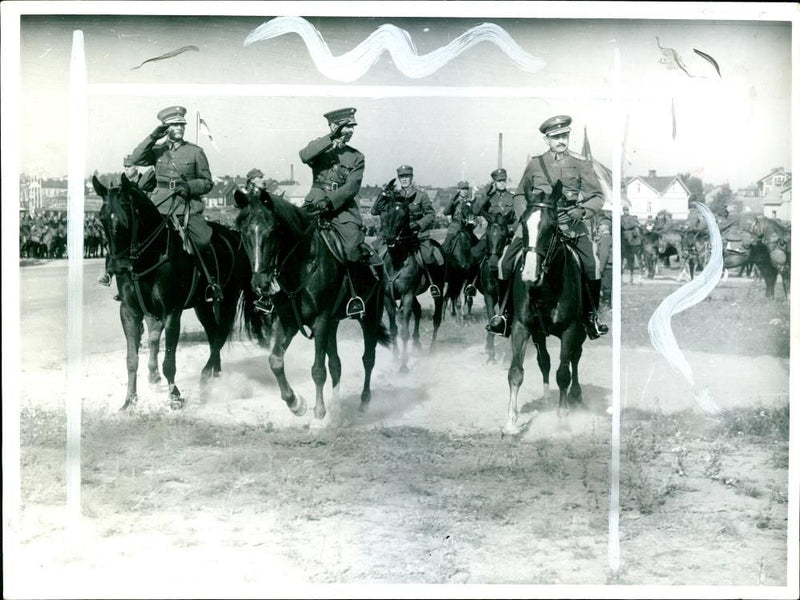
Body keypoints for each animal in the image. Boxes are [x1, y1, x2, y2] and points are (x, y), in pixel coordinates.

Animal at [90, 172, 266, 408]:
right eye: (101, 218)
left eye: (127, 216)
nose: (118, 267)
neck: (148, 259)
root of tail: (234, 235)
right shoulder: (129, 312)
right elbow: (132, 359)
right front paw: (130, 399)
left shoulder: (172, 312)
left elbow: (168, 361)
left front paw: (174, 396)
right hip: (202, 306)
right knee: (213, 333)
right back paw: (216, 374)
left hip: (228, 299)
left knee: (220, 335)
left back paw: (205, 377)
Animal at [233, 188, 392, 422]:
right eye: (243, 233)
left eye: (272, 231)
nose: (261, 284)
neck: (301, 264)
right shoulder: (288, 321)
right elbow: (275, 361)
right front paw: (295, 403)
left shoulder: (320, 321)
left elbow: (318, 370)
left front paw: (319, 413)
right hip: (333, 324)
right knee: (336, 364)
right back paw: (337, 408)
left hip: (370, 317)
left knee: (368, 358)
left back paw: (364, 402)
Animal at [378, 195, 446, 370]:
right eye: (385, 212)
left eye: (404, 215)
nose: (390, 239)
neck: (397, 261)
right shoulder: (388, 298)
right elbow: (394, 329)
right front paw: (395, 358)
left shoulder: (407, 296)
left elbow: (404, 332)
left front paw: (403, 364)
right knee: (418, 310)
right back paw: (417, 343)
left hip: (438, 289)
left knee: (436, 318)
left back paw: (432, 348)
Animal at [506, 180, 588, 434]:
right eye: (523, 223)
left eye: (551, 227)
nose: (529, 274)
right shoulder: (521, 326)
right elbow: (516, 372)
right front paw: (511, 423)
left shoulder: (570, 329)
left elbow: (563, 373)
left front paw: (562, 420)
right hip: (539, 333)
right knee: (545, 362)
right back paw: (545, 400)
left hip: (580, 331)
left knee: (575, 358)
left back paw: (575, 395)